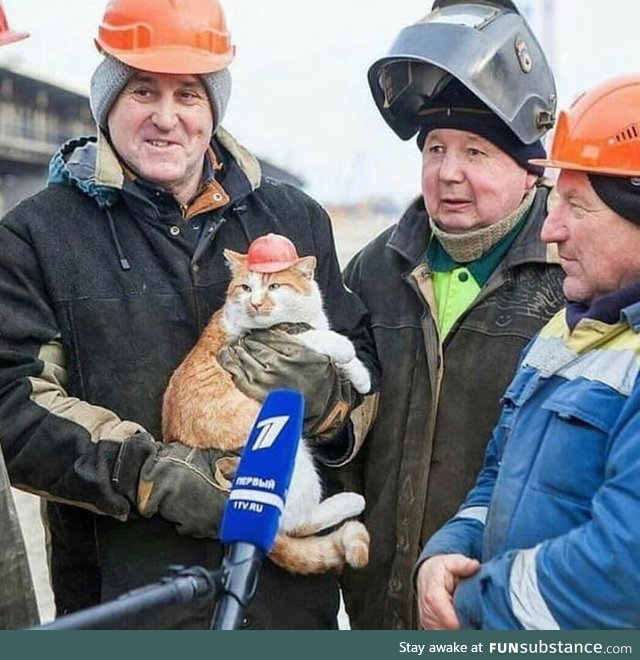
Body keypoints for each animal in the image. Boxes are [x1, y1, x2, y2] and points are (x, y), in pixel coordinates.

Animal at [162, 246, 370, 572]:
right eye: (246, 288)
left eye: (274, 286)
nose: (256, 303)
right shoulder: (276, 337)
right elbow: (317, 339)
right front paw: (342, 347)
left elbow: (340, 363)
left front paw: (361, 377)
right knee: (294, 522)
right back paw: (349, 502)